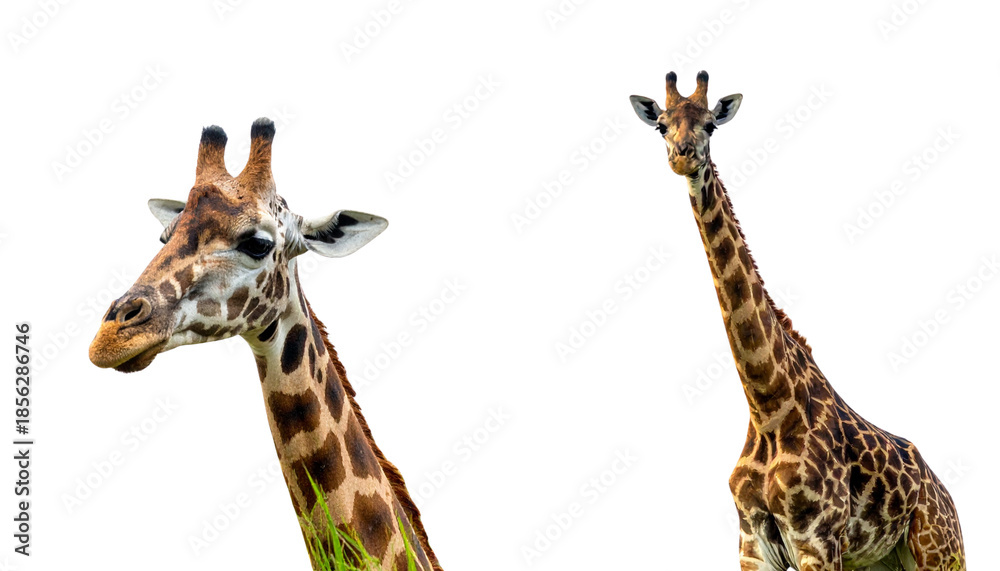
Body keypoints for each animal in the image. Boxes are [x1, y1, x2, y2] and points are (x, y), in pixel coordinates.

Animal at [629, 72, 965, 571]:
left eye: (710, 125)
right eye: (661, 125)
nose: (682, 156)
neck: (767, 407)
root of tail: (949, 499)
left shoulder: (818, 542)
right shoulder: (753, 547)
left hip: (938, 551)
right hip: (882, 561)